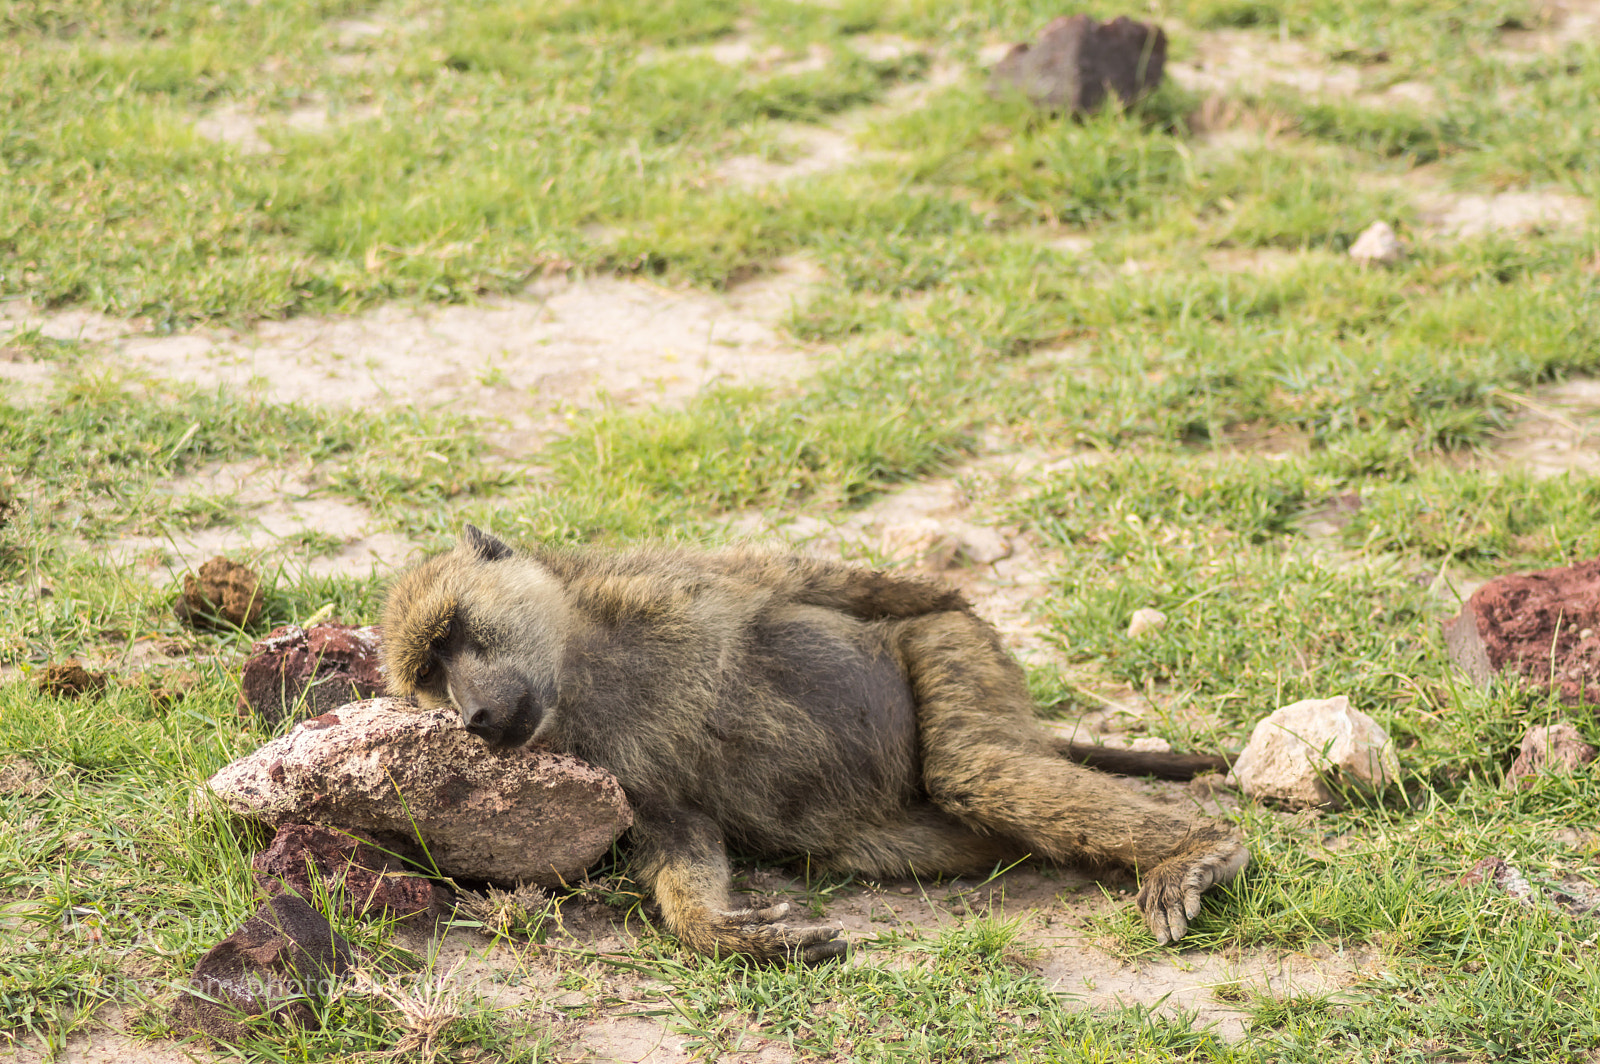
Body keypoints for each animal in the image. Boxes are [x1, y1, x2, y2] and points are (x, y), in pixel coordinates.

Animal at [381, 525, 1248, 964]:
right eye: (429, 675)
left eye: (452, 634)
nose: (472, 715)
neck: (579, 666)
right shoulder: (611, 772)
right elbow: (679, 836)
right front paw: (725, 930)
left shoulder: (675, 579)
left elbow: (819, 582)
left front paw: (948, 592)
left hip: (940, 656)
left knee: (975, 764)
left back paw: (1197, 850)